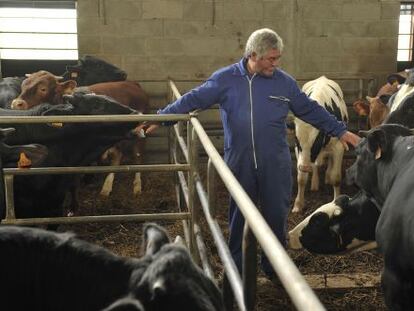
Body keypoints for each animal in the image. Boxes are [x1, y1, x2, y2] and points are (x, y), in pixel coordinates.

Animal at [10, 70, 150, 213]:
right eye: (23, 86)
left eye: (43, 89)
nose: (16, 104)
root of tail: (133, 84)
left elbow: (73, 182)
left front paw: (73, 207)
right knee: (118, 155)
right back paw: (106, 187)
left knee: (138, 157)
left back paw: (137, 186)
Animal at [292, 76, 348, 213]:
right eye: (296, 139)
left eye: (316, 140)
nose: (305, 167)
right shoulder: (298, 151)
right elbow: (301, 179)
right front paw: (298, 204)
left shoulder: (338, 146)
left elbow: (336, 178)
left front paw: (336, 201)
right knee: (316, 165)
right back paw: (315, 183)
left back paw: (326, 177)